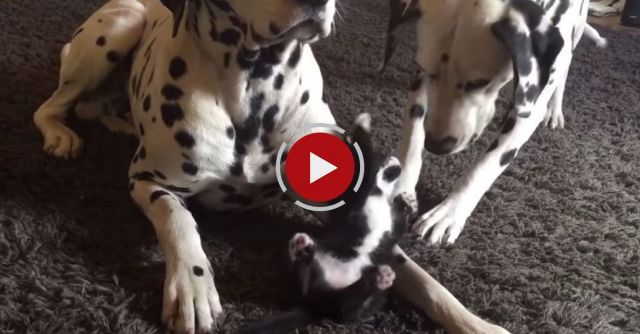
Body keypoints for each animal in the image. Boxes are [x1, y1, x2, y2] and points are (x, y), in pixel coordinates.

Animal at [36, 0, 516, 334]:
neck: (255, 86)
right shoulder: (148, 181)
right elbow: (177, 220)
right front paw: (192, 285)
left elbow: (419, 276)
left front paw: (476, 322)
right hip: (116, 31)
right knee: (54, 105)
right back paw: (62, 134)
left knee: (93, 106)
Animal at [382, 0, 608, 245]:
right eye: (427, 70)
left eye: (479, 82)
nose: (436, 145)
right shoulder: (421, 79)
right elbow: (413, 134)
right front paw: (401, 184)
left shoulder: (528, 111)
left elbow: (485, 166)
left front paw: (449, 212)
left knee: (565, 69)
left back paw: (555, 110)